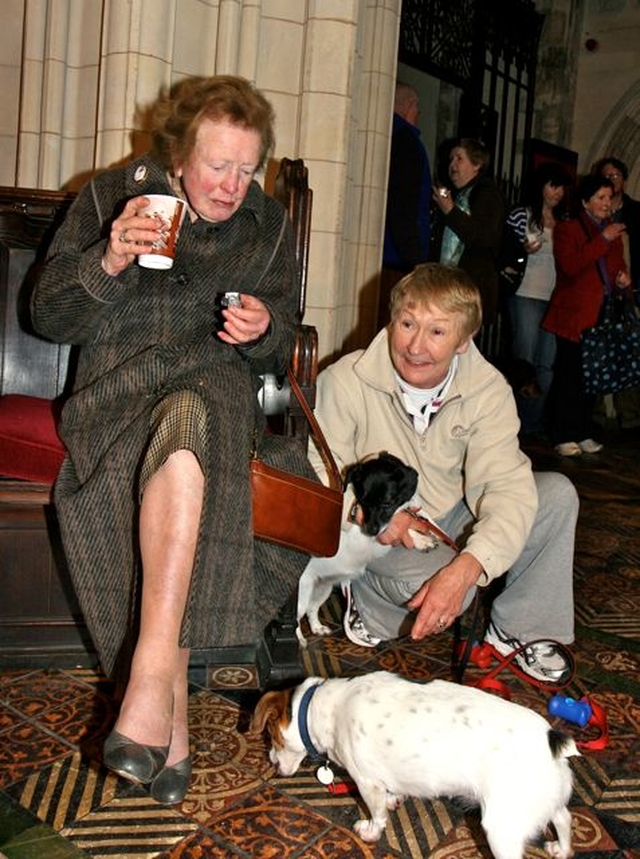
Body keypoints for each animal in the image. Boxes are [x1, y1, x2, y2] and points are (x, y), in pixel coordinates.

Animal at [251, 672, 580, 859]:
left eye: (272, 737)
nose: (270, 761)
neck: (323, 708)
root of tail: (552, 740)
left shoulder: (366, 783)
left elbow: (377, 815)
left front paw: (370, 832)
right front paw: (395, 799)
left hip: (502, 829)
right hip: (544, 801)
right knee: (564, 819)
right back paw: (561, 850)